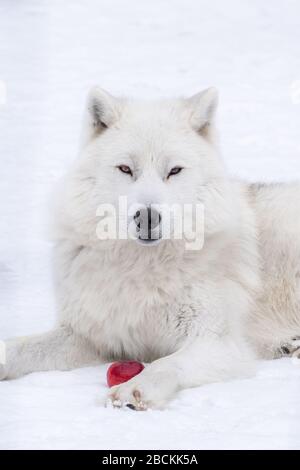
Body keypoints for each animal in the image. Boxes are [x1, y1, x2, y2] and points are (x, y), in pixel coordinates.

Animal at [0, 86, 300, 410]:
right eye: (125, 169)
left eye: (174, 171)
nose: (147, 216)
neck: (140, 267)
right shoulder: (90, 336)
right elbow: (21, 346)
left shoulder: (220, 344)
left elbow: (166, 363)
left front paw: (135, 389)